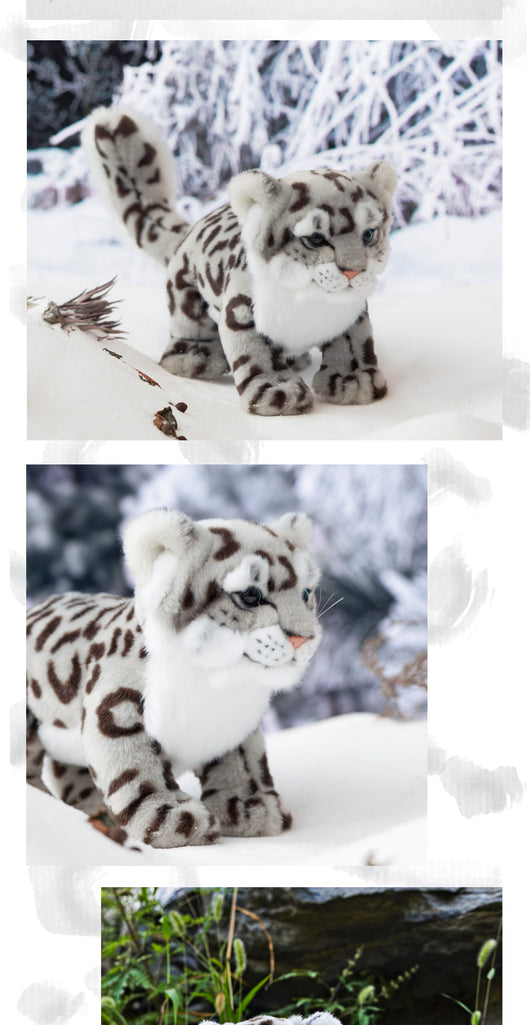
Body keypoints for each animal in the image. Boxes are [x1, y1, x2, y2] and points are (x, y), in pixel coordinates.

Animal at [26, 508, 321, 848]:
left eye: (307, 593)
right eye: (251, 595)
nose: (304, 638)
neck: (218, 688)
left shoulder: (233, 730)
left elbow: (242, 767)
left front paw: (252, 811)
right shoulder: (117, 710)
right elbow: (137, 770)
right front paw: (175, 820)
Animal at [82, 105, 397, 416]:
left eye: (368, 234)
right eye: (316, 238)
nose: (354, 271)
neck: (311, 306)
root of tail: (192, 229)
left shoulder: (352, 317)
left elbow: (354, 346)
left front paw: (354, 381)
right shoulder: (242, 313)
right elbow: (257, 356)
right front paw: (279, 391)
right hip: (184, 297)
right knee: (188, 328)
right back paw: (196, 358)